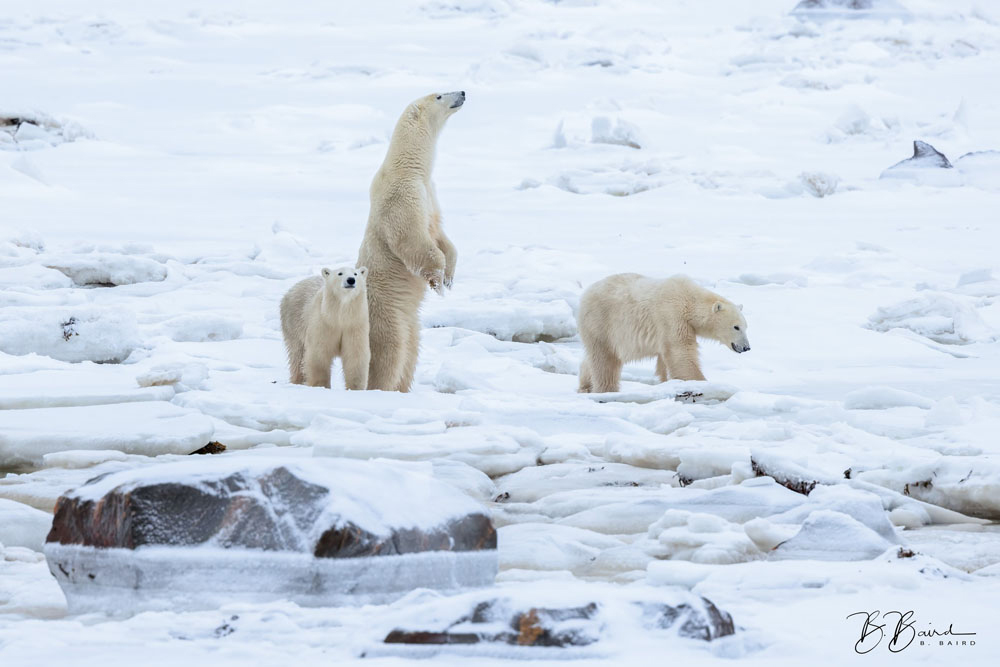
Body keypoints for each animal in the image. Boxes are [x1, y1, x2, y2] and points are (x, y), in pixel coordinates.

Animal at [360, 88, 464, 392]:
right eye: (440, 95)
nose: (463, 92)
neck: (407, 166)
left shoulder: (429, 192)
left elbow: (440, 234)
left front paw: (450, 277)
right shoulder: (402, 196)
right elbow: (413, 239)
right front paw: (438, 282)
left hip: (410, 322)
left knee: (411, 351)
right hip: (386, 314)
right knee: (390, 352)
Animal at [576, 274, 748, 394]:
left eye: (746, 327)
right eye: (736, 327)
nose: (747, 347)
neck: (688, 299)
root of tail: (585, 294)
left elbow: (665, 359)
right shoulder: (672, 316)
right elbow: (681, 353)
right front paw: (703, 383)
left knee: (593, 359)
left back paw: (585, 386)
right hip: (602, 323)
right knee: (605, 360)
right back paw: (607, 390)